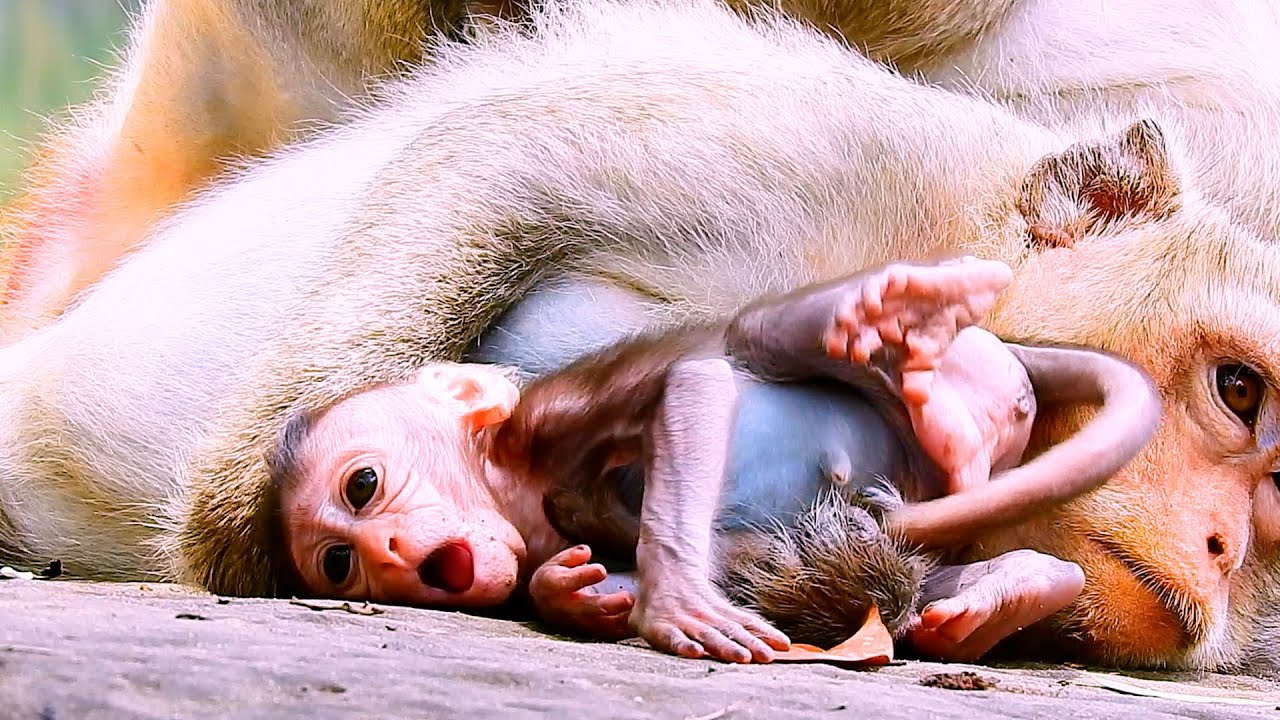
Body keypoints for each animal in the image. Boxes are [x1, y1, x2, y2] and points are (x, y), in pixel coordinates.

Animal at [266, 256, 1160, 663]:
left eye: (364, 485)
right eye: (340, 564)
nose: (389, 552)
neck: (523, 490)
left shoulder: (549, 421)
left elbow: (694, 384)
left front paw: (670, 605)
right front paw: (573, 593)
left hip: (960, 369)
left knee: (749, 338)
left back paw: (903, 340)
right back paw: (1006, 591)